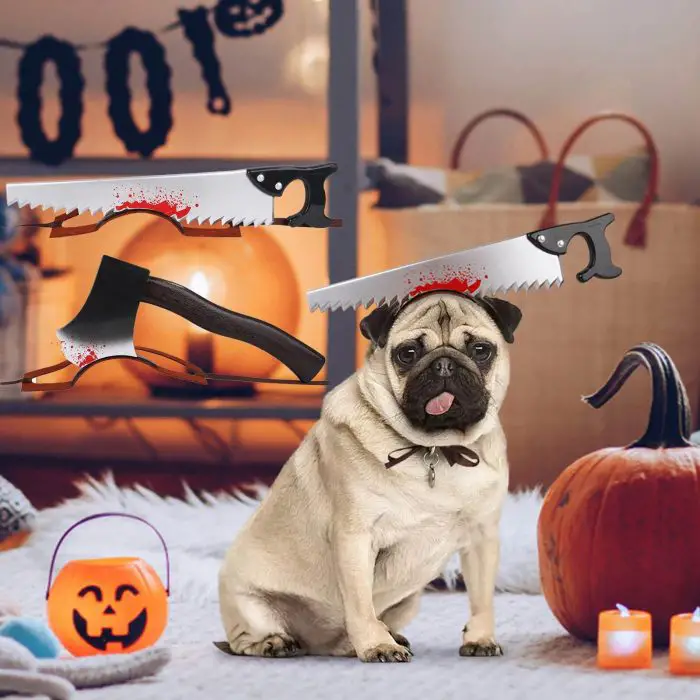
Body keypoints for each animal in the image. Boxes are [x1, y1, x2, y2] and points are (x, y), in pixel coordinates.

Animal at [217, 290, 520, 660]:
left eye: (480, 350)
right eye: (408, 353)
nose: (444, 364)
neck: (435, 448)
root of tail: (319, 645)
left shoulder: (481, 538)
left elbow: (481, 599)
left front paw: (480, 638)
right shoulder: (356, 537)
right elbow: (360, 604)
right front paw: (377, 646)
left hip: (409, 600)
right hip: (249, 604)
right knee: (244, 639)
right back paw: (275, 642)